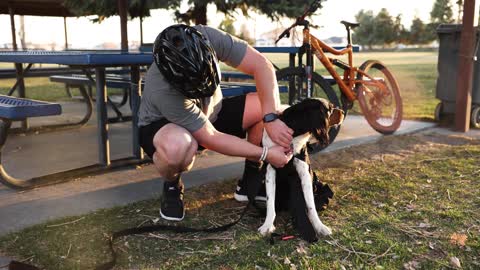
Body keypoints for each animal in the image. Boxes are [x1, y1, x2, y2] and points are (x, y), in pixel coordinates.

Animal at [258, 98, 344, 242]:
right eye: (331, 109)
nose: (343, 112)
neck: (294, 133)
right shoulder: (270, 170)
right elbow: (270, 202)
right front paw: (267, 225)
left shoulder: (304, 172)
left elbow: (310, 205)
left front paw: (319, 226)